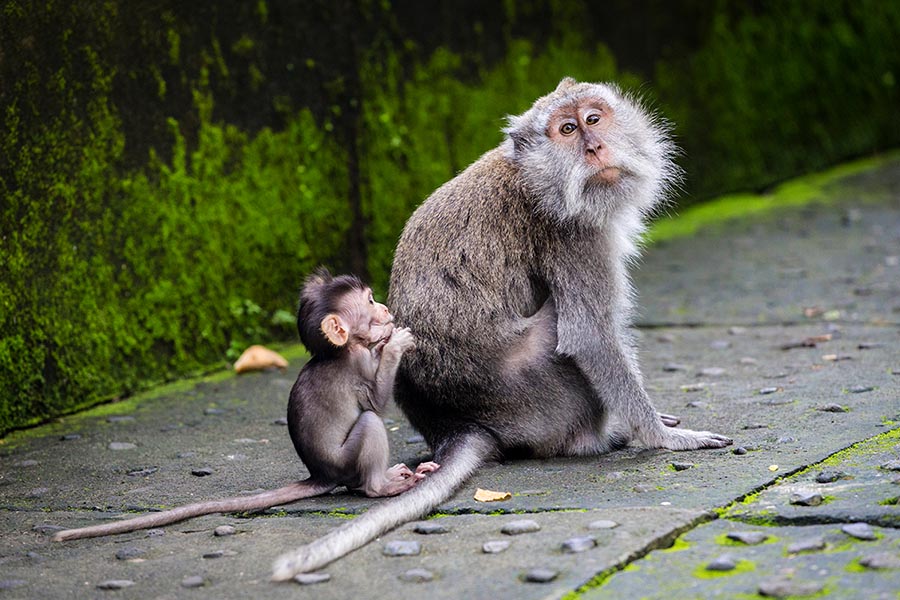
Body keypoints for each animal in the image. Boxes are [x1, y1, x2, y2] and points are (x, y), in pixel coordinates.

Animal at [53, 269, 438, 542]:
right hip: (345, 459)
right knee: (369, 423)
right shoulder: (357, 363)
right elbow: (376, 400)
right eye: (370, 302)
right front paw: (395, 343)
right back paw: (381, 486)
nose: (385, 308)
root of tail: (322, 473)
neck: (340, 351)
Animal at [271, 78, 732, 580]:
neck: (536, 178)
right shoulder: (573, 237)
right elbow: (589, 335)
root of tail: (457, 425)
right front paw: (663, 437)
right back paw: (599, 437)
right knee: (556, 327)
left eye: (593, 118)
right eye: (567, 130)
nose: (594, 147)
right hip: (539, 401)